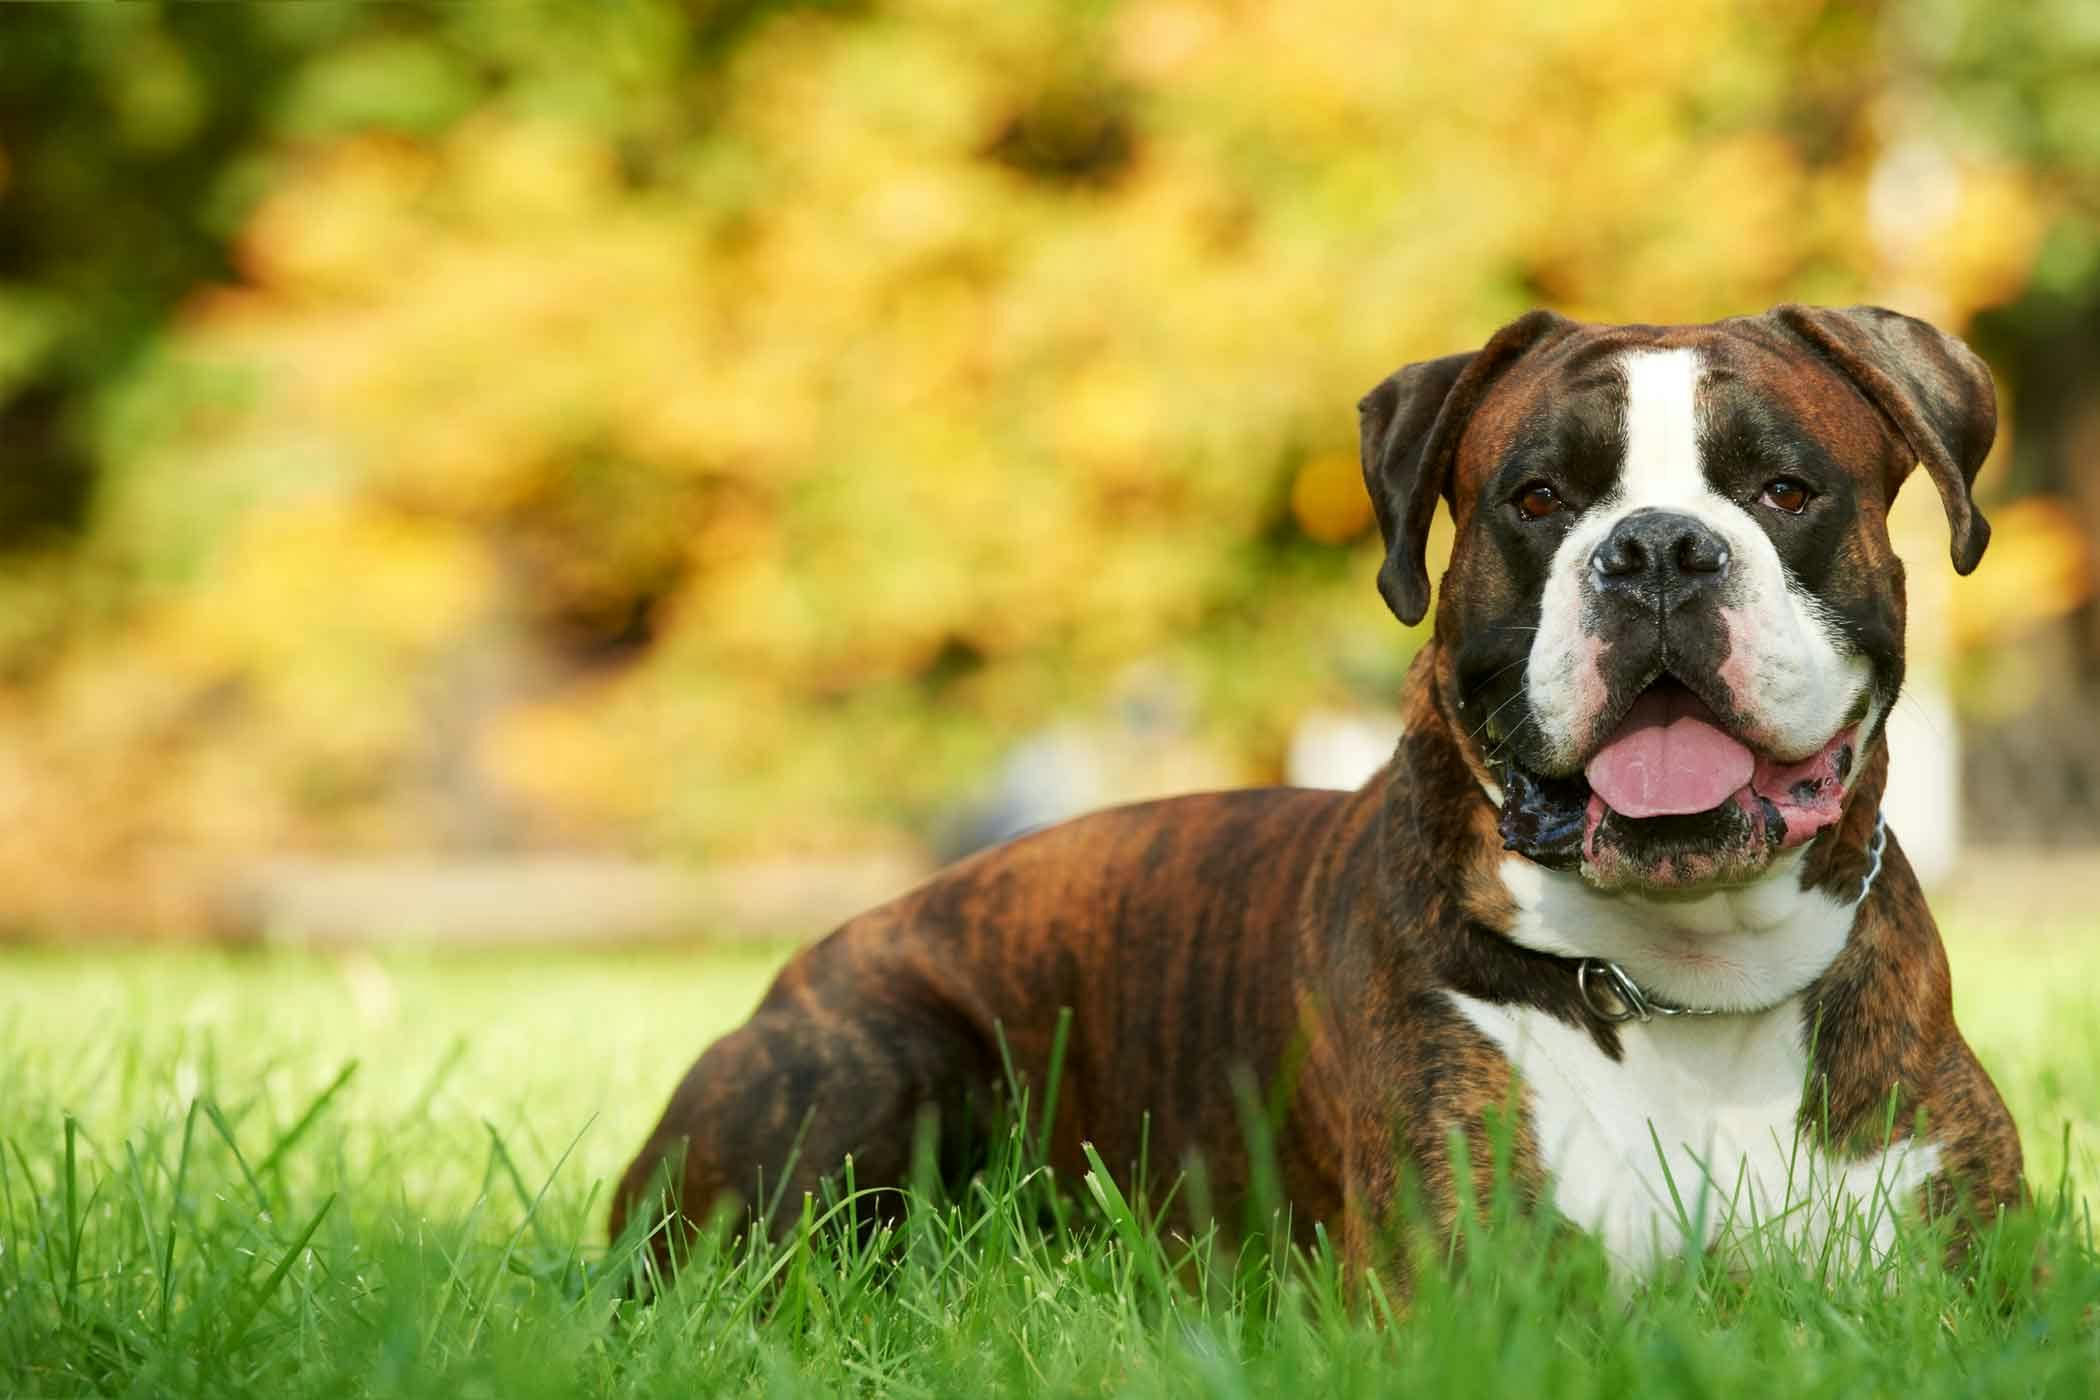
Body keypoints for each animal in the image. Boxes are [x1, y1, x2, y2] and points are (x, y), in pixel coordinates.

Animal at [613, 306, 2024, 1292]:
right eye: (1538, 497)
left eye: (1785, 489)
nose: (1659, 549)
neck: (1685, 983)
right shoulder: (1474, 1281)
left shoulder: (1977, 1280)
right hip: (860, 1075)